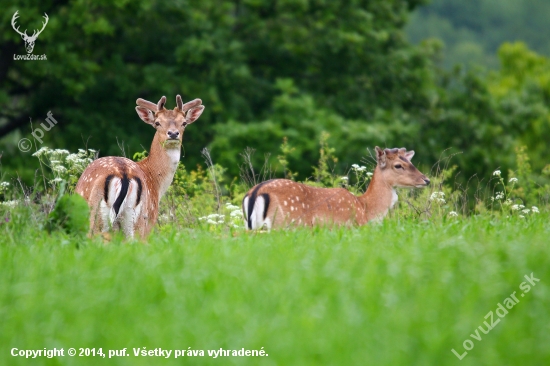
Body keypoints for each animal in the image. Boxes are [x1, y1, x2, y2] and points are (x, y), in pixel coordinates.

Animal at [245, 147, 432, 229]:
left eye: (411, 162)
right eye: (398, 165)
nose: (426, 180)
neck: (365, 209)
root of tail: (255, 193)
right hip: (287, 224)